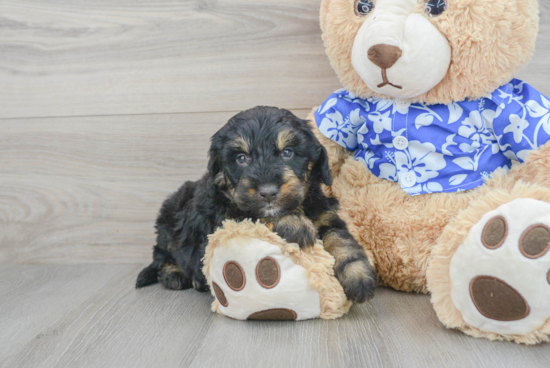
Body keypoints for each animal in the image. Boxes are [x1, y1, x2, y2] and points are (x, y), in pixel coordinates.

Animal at [137, 105, 380, 302]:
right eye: (241, 158)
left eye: (287, 153)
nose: (268, 192)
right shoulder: (223, 218)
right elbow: (255, 214)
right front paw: (293, 223)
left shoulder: (325, 216)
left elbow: (342, 241)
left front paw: (358, 275)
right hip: (168, 221)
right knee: (162, 255)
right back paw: (175, 275)